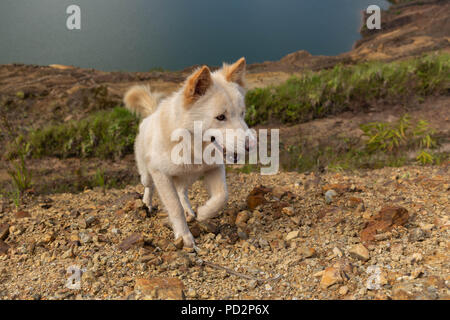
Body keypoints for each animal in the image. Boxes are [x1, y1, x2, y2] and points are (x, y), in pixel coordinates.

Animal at [123, 57, 256, 248]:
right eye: (220, 117)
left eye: (242, 113)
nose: (252, 145)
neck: (192, 145)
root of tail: (150, 114)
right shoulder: (161, 175)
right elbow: (174, 207)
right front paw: (184, 236)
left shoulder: (214, 168)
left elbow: (222, 196)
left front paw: (204, 213)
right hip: (147, 174)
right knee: (149, 186)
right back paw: (147, 203)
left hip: (187, 177)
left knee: (182, 192)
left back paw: (190, 210)